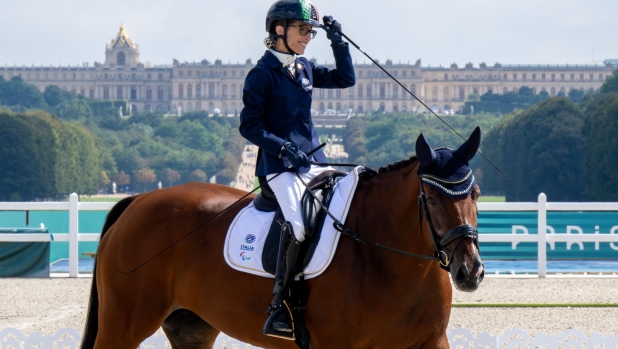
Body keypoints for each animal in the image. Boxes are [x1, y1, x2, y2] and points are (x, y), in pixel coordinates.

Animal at [80, 128, 482, 348]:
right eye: (431, 199)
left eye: (475, 194)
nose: (470, 272)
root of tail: (138, 201)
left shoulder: (432, 341)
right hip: (123, 327)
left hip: (191, 328)